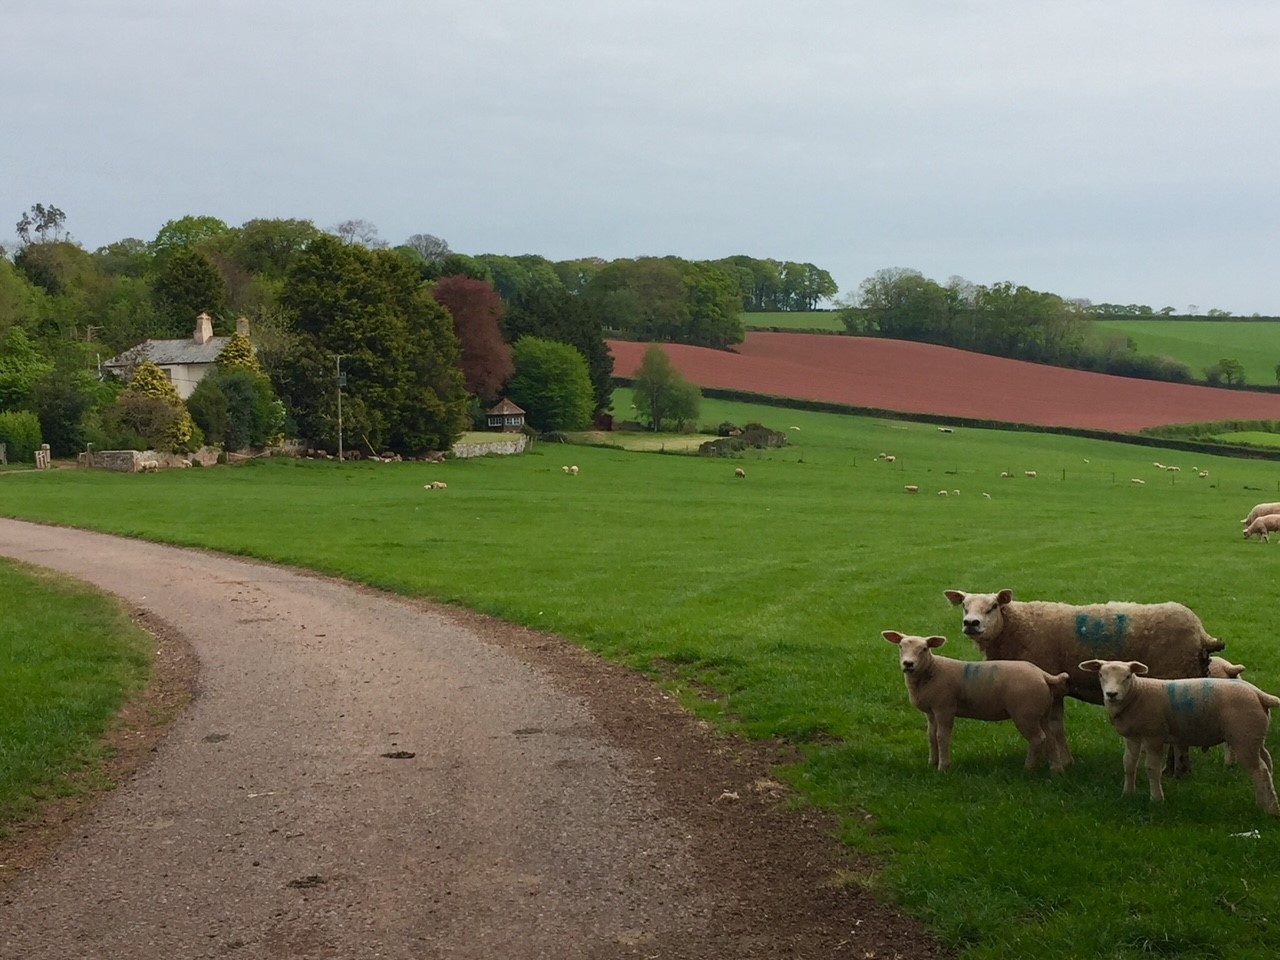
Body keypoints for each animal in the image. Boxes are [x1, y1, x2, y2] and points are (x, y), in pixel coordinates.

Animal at [880, 632, 1070, 773]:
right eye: (900, 647)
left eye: (924, 649)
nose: (908, 664)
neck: (932, 670)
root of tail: (1043, 674)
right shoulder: (931, 712)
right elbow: (931, 736)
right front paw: (932, 763)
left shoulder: (944, 707)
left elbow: (942, 736)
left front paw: (943, 767)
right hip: (1041, 712)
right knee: (1050, 737)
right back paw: (1056, 770)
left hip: (1025, 713)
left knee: (1038, 738)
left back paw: (1028, 768)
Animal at [947, 583, 1223, 773]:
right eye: (964, 606)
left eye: (993, 606)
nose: (971, 623)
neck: (1015, 627)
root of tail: (1201, 634)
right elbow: (1056, 727)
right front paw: (1062, 760)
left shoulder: (1050, 684)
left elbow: (1051, 727)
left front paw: (1056, 761)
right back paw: (1177, 769)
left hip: (1174, 674)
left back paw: (1175, 771)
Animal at [1080, 660, 1280, 814]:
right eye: (1100, 675)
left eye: (1128, 676)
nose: (1111, 694)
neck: (1137, 693)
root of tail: (1259, 694)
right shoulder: (1132, 738)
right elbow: (1128, 765)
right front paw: (1127, 794)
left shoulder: (1154, 736)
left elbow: (1152, 768)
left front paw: (1157, 799)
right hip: (1254, 736)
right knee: (1267, 762)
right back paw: (1264, 802)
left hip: (1243, 737)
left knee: (1260, 770)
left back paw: (1270, 810)